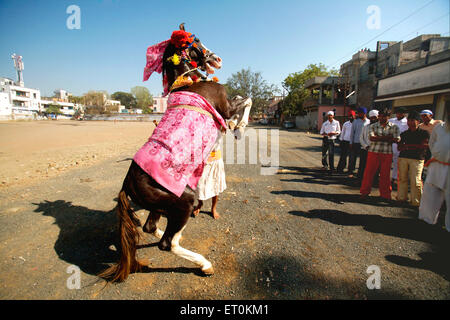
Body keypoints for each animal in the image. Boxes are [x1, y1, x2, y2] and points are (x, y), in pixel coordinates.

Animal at [100, 24, 251, 282]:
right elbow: (246, 99)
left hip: (161, 205)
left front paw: (237, 125)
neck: (186, 84)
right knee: (167, 243)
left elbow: (244, 98)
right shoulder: (226, 107)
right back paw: (204, 264)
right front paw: (239, 126)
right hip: (182, 201)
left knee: (150, 228)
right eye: (196, 40)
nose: (217, 59)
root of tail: (127, 184)